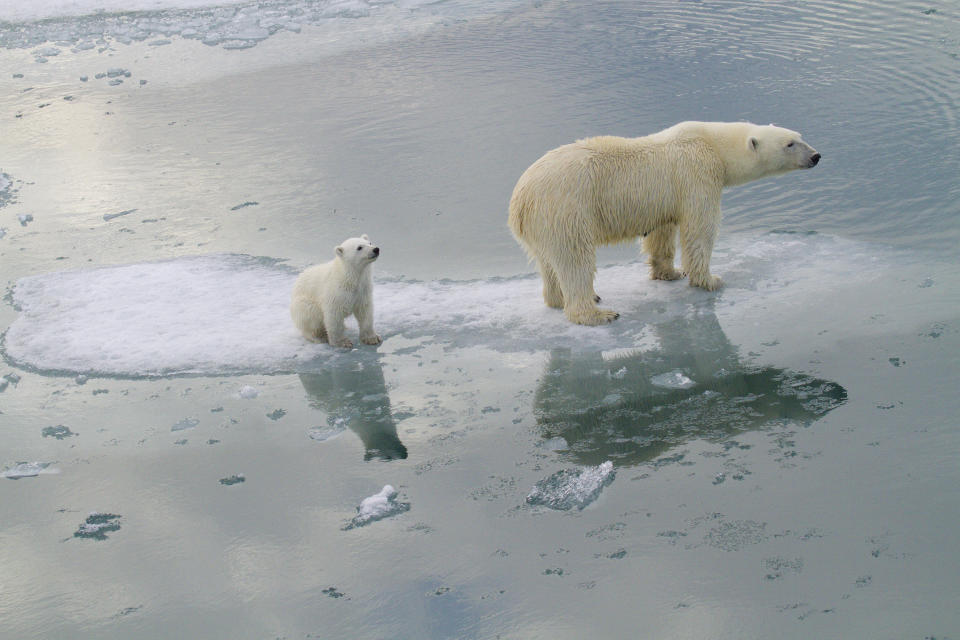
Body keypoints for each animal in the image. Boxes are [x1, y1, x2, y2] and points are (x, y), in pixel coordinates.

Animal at [510, 121, 816, 324]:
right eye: (790, 144)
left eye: (799, 136)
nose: (816, 155)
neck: (713, 143)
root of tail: (520, 200)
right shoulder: (697, 174)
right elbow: (700, 229)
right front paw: (710, 279)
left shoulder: (664, 199)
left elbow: (662, 232)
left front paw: (669, 273)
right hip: (566, 208)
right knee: (575, 259)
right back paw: (597, 312)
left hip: (543, 223)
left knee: (548, 262)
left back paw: (559, 299)